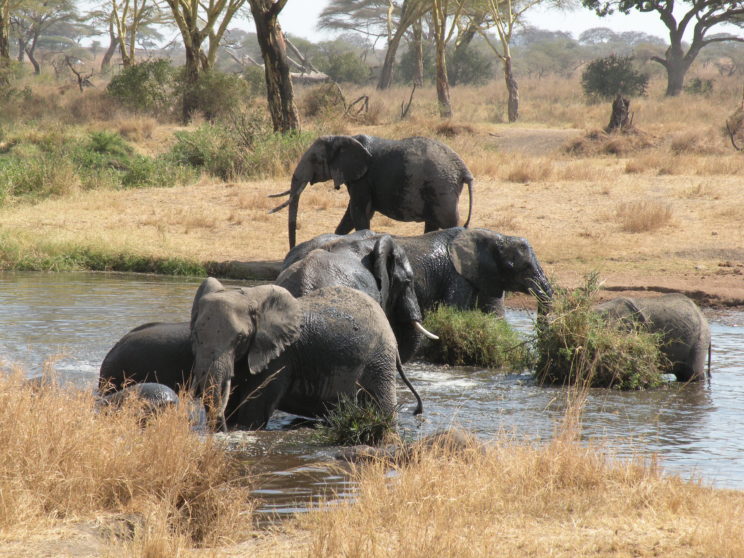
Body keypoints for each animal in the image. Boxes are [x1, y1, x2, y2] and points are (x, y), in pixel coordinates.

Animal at [190, 280, 424, 434]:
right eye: (196, 336)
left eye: (240, 338)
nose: (219, 428)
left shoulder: (281, 357)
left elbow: (254, 408)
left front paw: (239, 427)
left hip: (379, 359)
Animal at [270, 135, 474, 248]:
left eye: (314, 159)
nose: (292, 249)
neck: (341, 138)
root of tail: (464, 170)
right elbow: (351, 216)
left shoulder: (362, 178)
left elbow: (359, 211)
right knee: (432, 223)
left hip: (442, 188)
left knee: (449, 222)